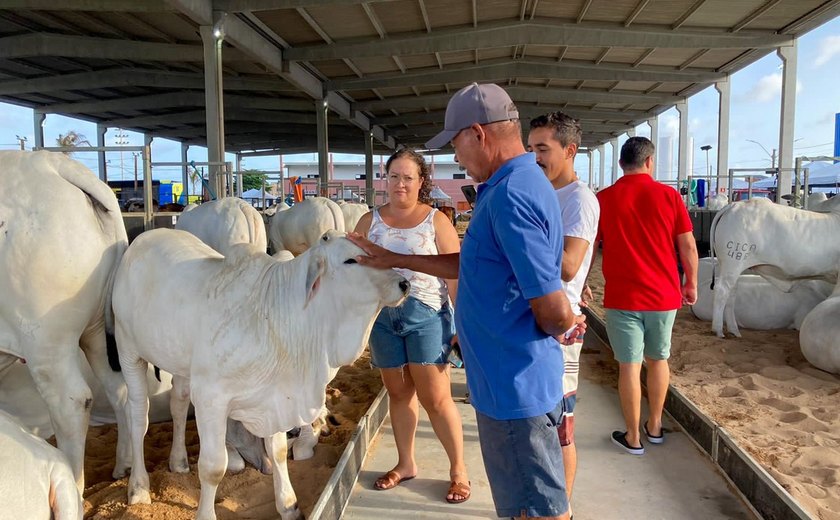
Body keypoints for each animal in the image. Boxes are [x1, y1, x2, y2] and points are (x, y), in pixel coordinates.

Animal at [0, 150, 130, 492]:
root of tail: (52, 163)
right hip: (98, 331)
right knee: (120, 389)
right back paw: (124, 466)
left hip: (45, 340)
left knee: (71, 401)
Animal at [708, 199, 840, 338]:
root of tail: (733, 205)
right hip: (733, 262)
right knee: (721, 290)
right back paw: (718, 330)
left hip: (731, 266)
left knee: (731, 293)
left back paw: (734, 330)